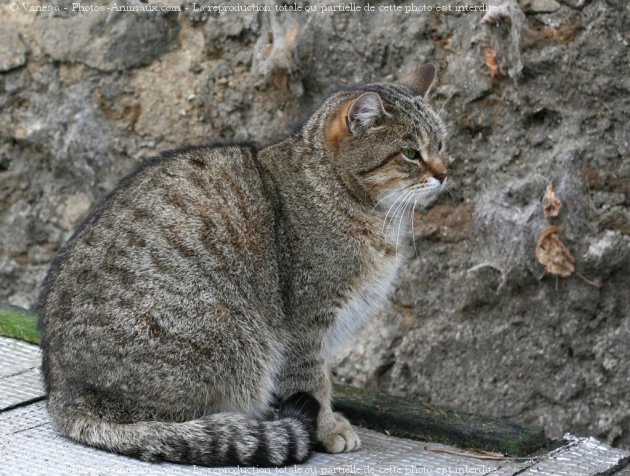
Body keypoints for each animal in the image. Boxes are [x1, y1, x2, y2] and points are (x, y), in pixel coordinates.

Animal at [38, 62, 450, 464]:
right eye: (410, 153)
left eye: (441, 145)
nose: (444, 174)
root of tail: (64, 399)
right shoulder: (306, 324)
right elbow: (313, 383)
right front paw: (327, 428)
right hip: (231, 334)